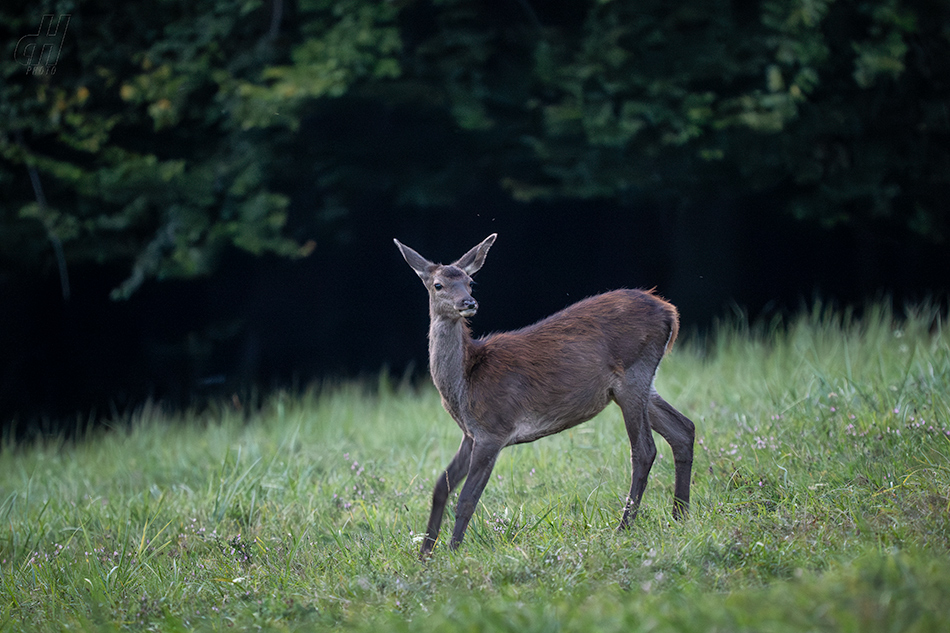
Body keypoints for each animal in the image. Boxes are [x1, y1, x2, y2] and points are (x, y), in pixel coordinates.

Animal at [390, 235, 696, 556]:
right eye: (438, 285)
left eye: (470, 282)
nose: (468, 303)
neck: (465, 385)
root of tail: (669, 312)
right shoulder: (470, 434)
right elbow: (440, 487)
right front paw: (425, 554)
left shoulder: (493, 430)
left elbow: (466, 498)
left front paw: (452, 551)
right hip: (639, 384)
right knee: (683, 429)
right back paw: (680, 515)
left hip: (633, 374)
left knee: (645, 449)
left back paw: (625, 526)